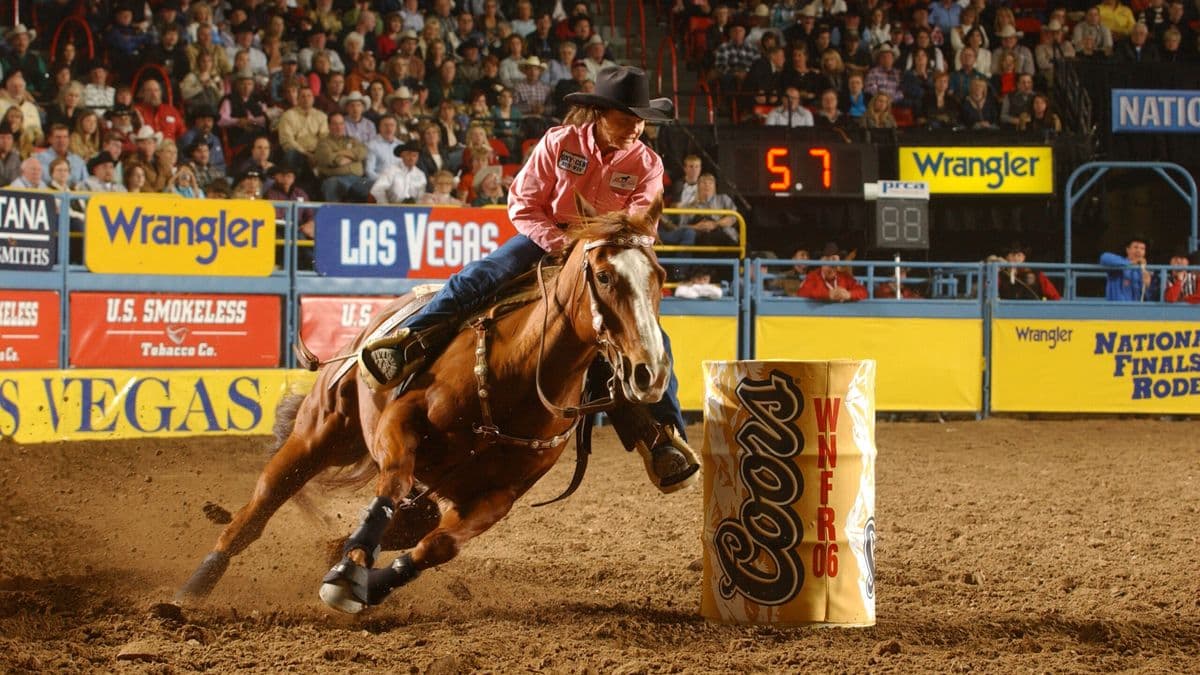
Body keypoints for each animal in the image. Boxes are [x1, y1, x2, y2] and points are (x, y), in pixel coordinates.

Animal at [178, 194, 671, 613]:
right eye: (604, 275)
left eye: (660, 278)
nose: (650, 371)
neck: (516, 375)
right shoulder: (401, 422)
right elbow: (390, 485)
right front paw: (347, 574)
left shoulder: (498, 496)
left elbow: (439, 546)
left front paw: (366, 582)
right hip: (320, 433)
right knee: (262, 503)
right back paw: (195, 585)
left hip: (420, 491)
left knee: (409, 524)